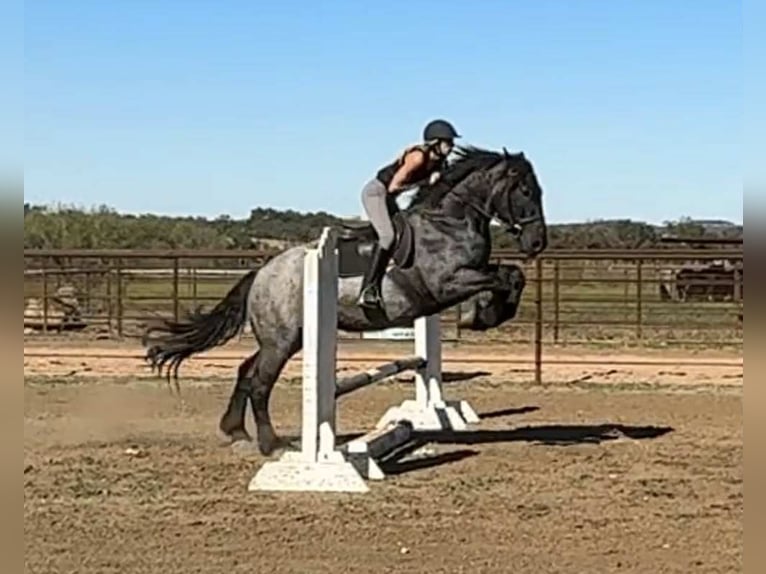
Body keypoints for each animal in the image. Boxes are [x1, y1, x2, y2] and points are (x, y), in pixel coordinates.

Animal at [142, 145, 548, 456]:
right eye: (526, 191)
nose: (537, 243)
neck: (449, 222)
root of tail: (262, 272)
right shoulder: (446, 283)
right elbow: (504, 277)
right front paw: (480, 316)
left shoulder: (467, 275)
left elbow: (512, 274)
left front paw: (488, 313)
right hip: (281, 340)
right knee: (259, 383)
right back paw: (271, 444)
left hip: (287, 338)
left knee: (245, 372)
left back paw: (236, 432)